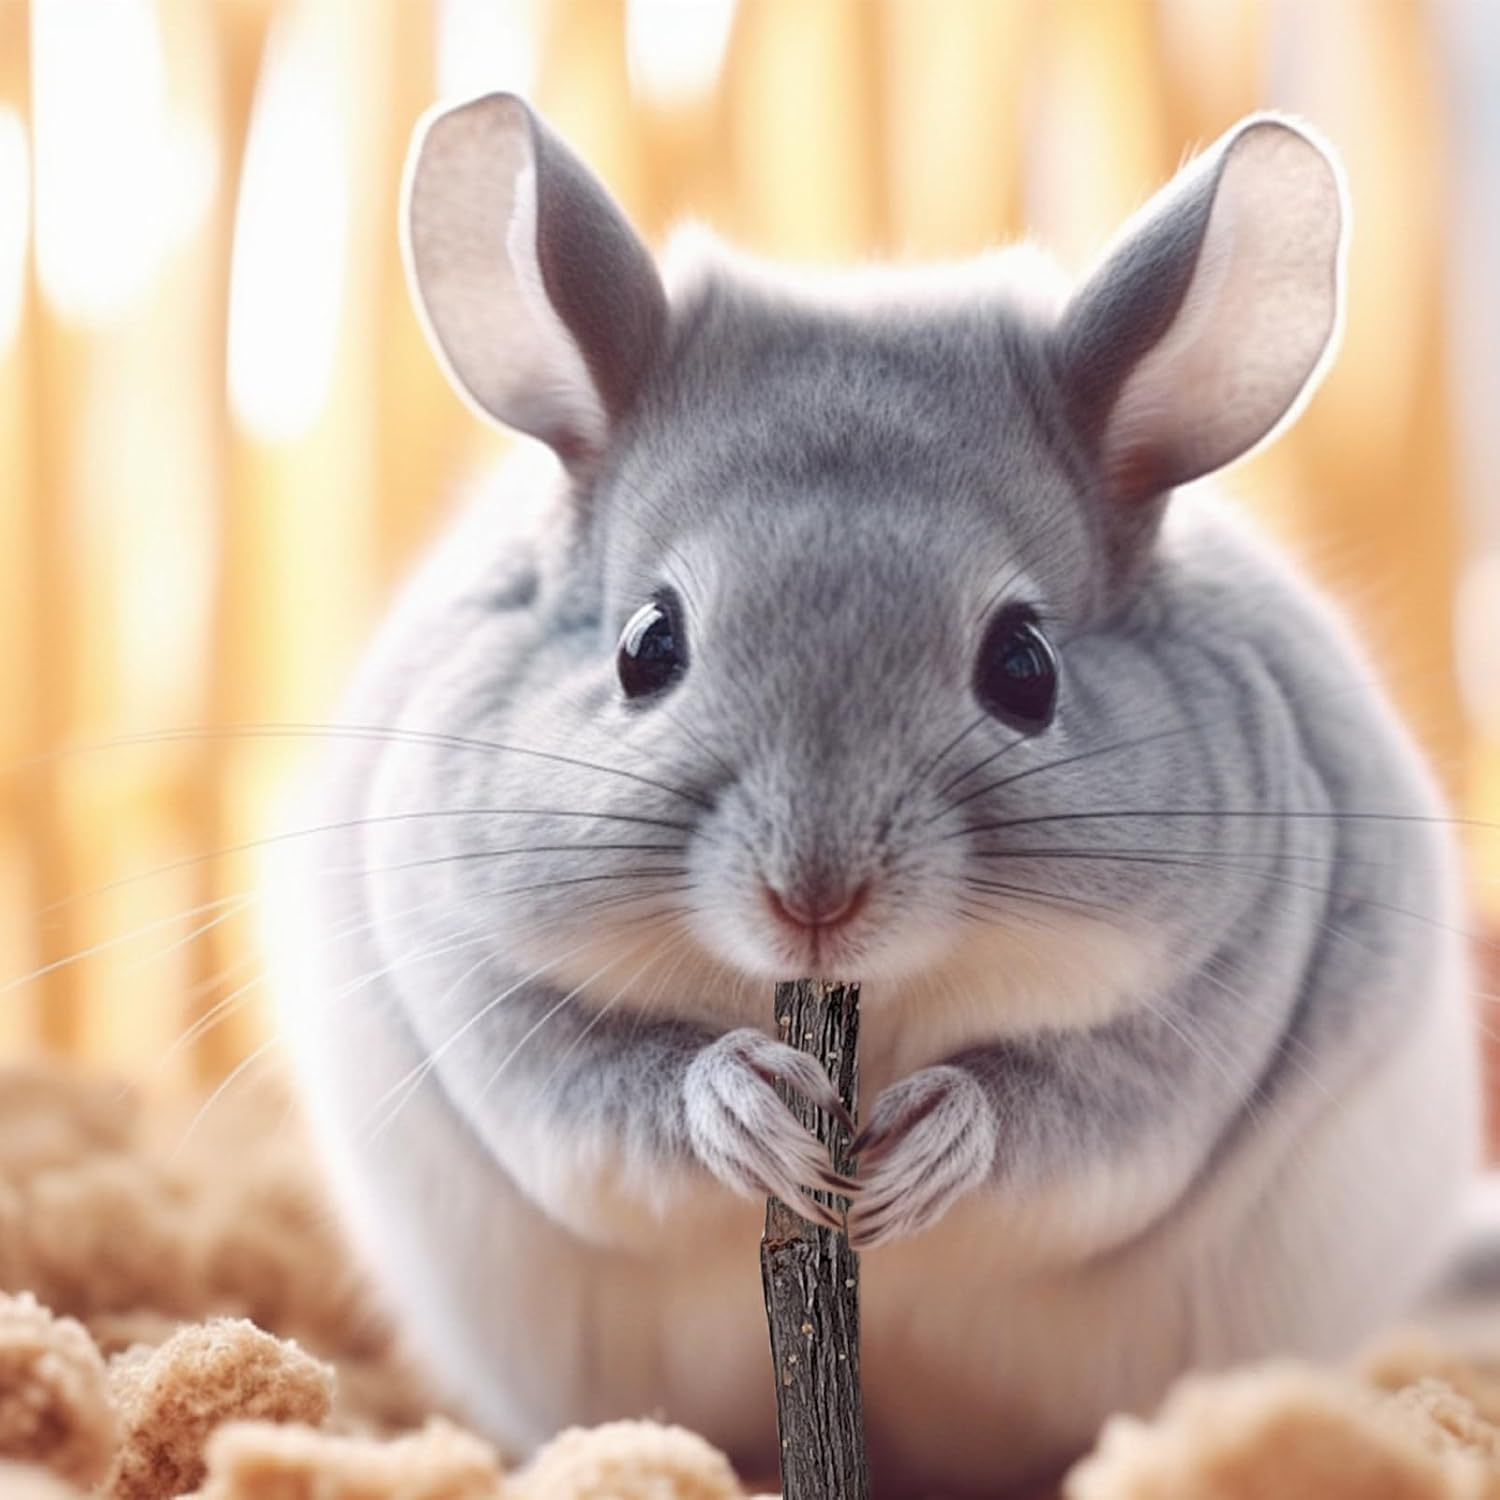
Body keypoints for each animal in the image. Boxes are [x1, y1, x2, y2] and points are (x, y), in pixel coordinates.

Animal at [265, 95, 1482, 1496]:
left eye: (1025, 666)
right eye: (644, 647)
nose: (814, 901)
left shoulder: (1205, 1028)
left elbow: (1069, 1111)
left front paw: (926, 1148)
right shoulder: (476, 990)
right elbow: (609, 1085)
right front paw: (754, 1113)